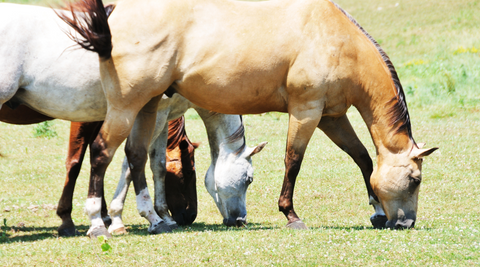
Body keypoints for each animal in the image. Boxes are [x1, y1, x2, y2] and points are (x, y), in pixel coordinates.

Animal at [0, 2, 266, 237]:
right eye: (248, 179)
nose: (240, 220)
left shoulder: (157, 115)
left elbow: (156, 164)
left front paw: (158, 216)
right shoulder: (146, 114)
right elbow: (122, 164)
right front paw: (116, 219)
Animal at [57, 0, 438, 239]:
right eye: (415, 180)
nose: (405, 223)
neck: (336, 37)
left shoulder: (332, 116)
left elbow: (362, 159)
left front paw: (376, 210)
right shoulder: (306, 111)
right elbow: (293, 161)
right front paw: (291, 215)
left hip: (146, 107)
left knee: (132, 156)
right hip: (126, 108)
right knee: (101, 152)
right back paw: (97, 222)